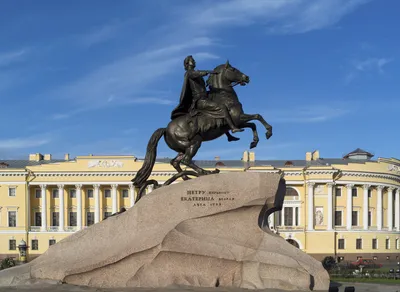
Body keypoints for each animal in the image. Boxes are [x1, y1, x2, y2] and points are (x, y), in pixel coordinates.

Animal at [133, 60, 274, 194]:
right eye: (233, 69)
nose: (247, 77)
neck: (224, 96)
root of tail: (166, 129)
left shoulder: (238, 121)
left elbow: (253, 124)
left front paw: (254, 142)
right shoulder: (238, 118)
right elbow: (257, 117)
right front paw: (268, 132)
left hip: (183, 147)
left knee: (175, 162)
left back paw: (187, 177)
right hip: (194, 142)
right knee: (186, 161)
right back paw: (204, 172)